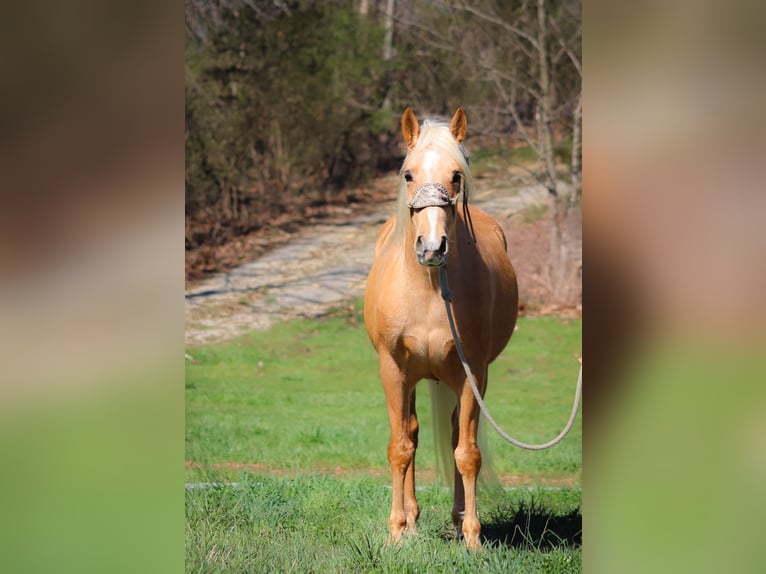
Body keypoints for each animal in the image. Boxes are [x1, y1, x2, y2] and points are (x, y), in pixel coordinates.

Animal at [366, 108, 520, 552]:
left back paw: (457, 520)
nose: (432, 247)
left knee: (454, 435)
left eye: (456, 175)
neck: (429, 289)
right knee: (413, 434)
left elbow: (467, 453)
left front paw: (472, 538)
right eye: (407, 174)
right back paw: (413, 522)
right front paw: (397, 531)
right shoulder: (393, 370)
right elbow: (400, 447)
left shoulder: (474, 374)